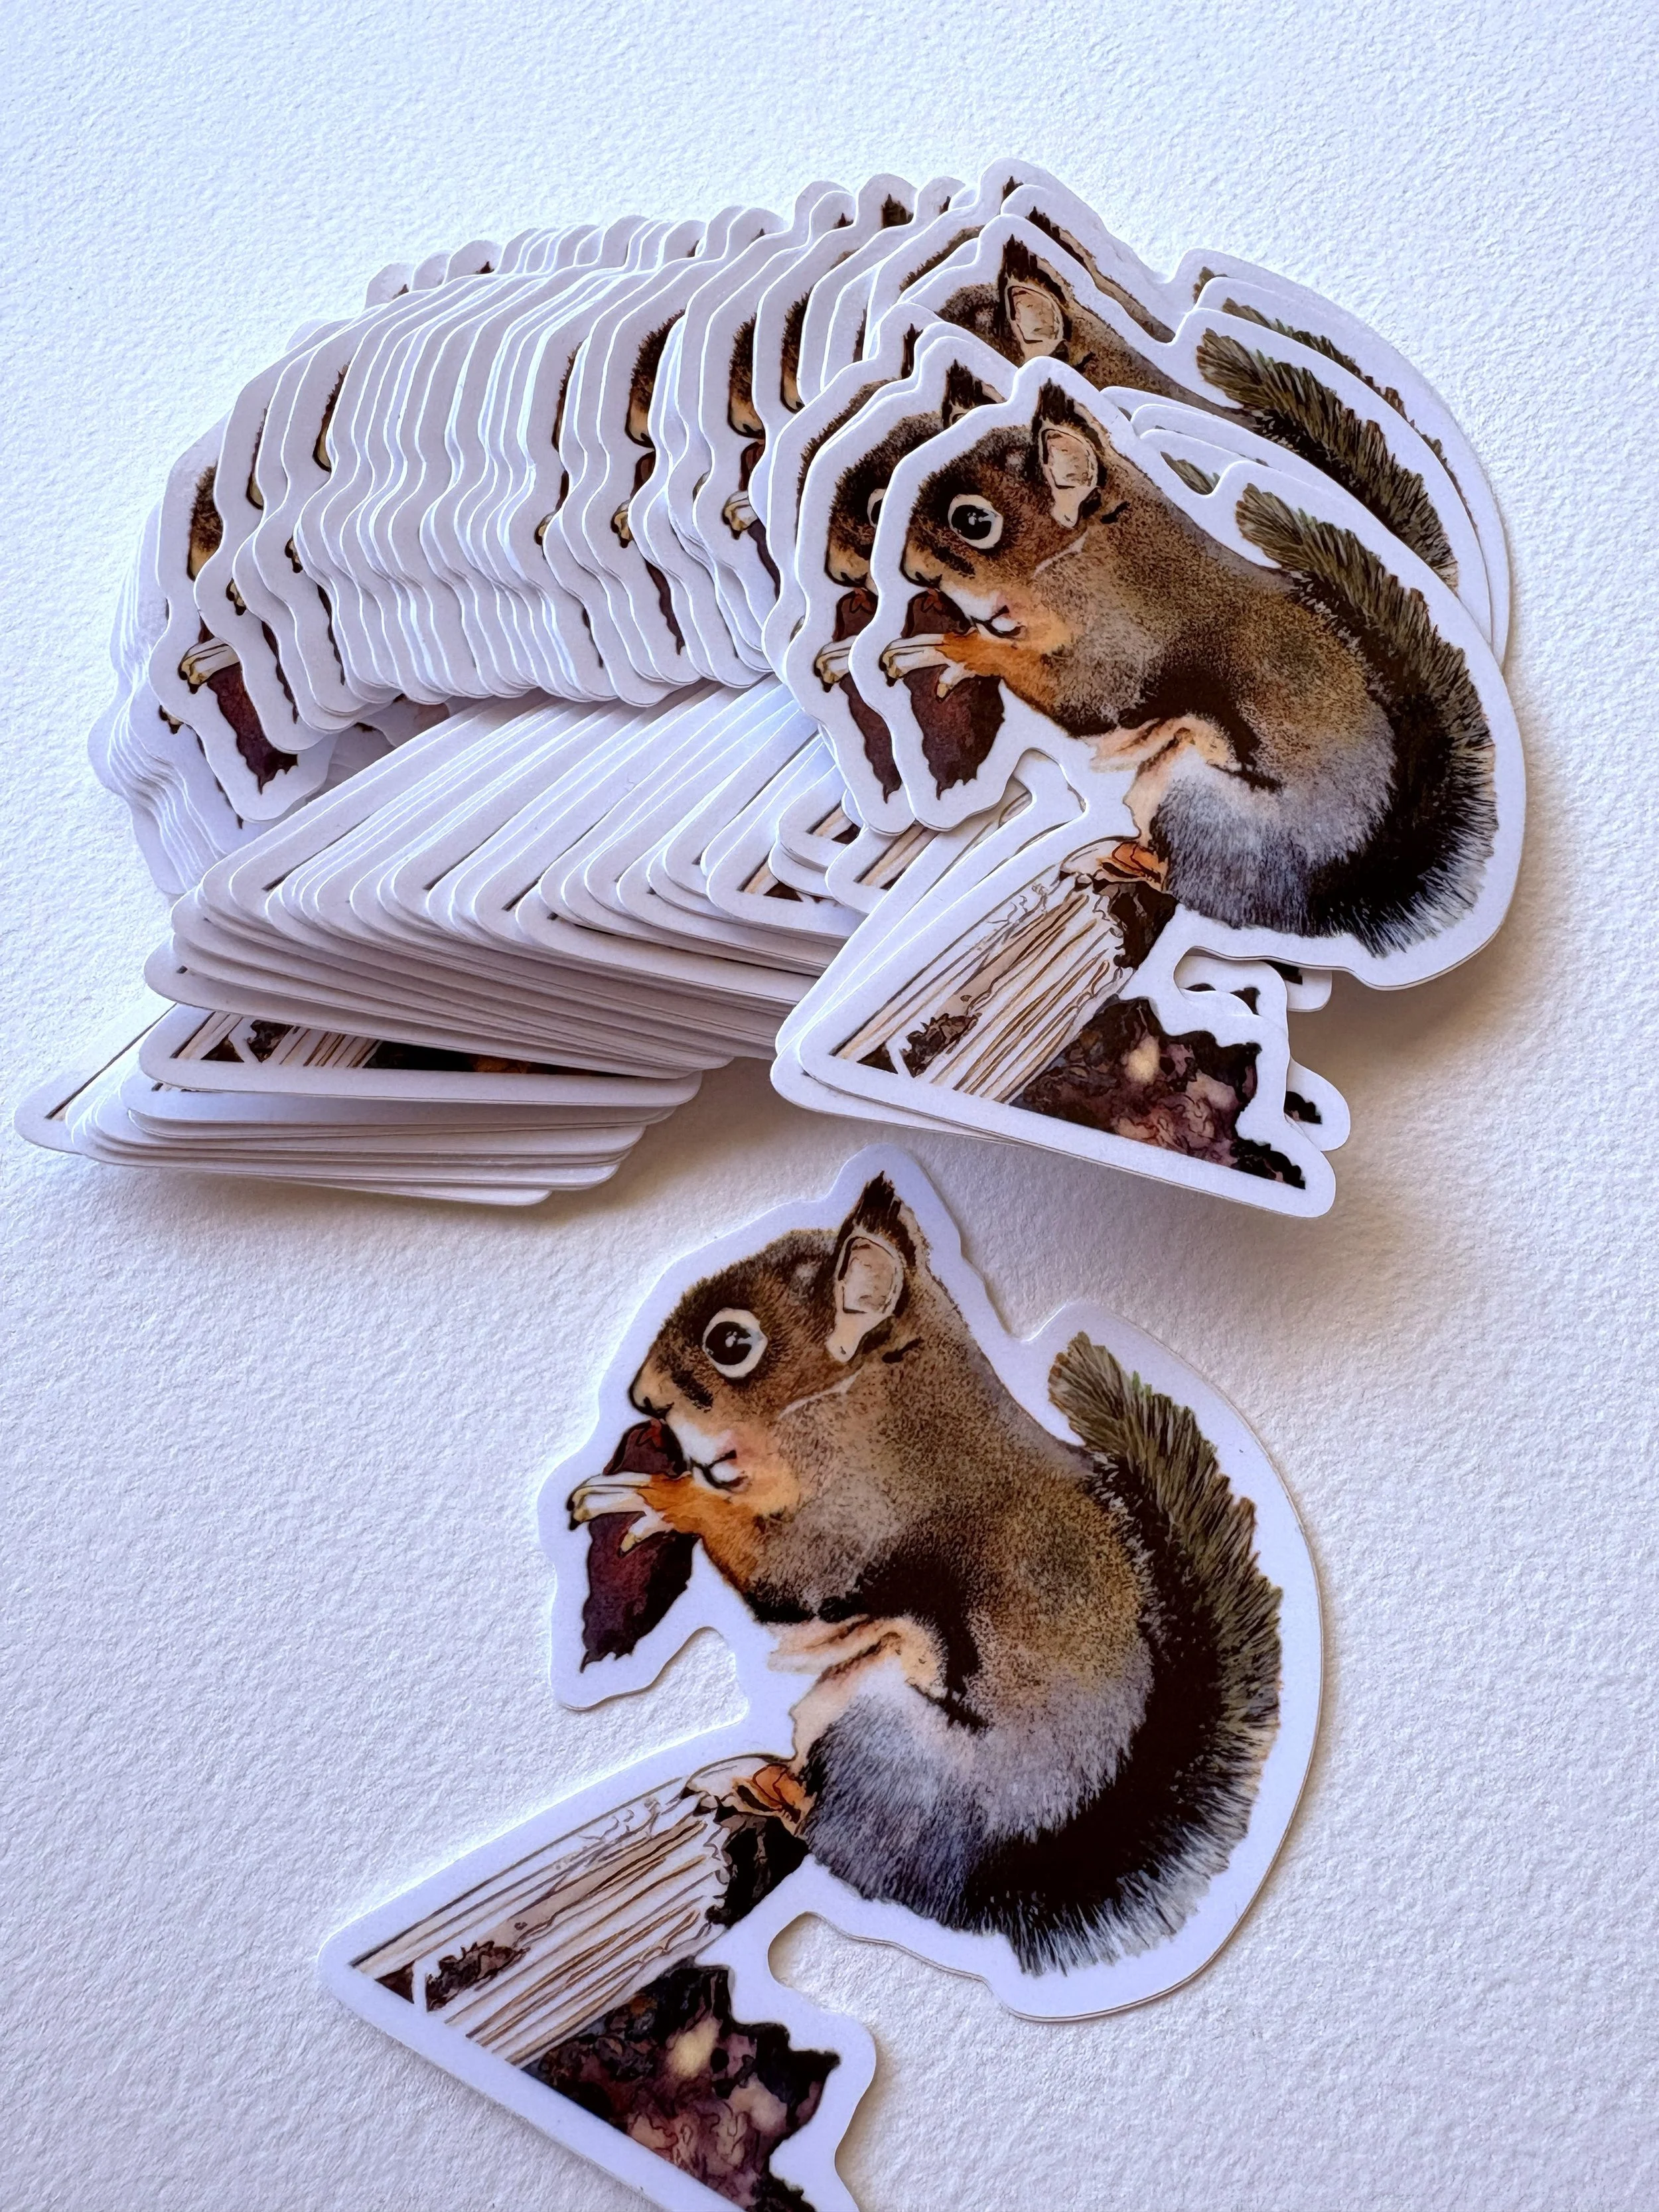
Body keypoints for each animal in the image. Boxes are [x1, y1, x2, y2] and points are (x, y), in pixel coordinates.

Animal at [569, 1173, 1281, 1974]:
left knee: (831, 1831)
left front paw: (653, 1496)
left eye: (731, 1342)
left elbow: (782, 1570)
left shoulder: (861, 1512)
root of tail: (982, 1887)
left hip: (878, 1737)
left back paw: (765, 1787)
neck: (861, 1391)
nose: (642, 1397)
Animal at [879, 378, 1497, 955]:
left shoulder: (1122, 645)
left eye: (973, 521)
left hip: (1196, 802)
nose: (909, 570)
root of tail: (1318, 902)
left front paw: (951, 650)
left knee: (1191, 883)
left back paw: (1114, 856)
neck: (1076, 555)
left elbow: (1077, 693)